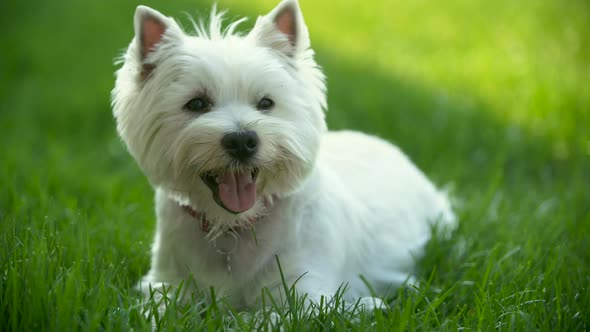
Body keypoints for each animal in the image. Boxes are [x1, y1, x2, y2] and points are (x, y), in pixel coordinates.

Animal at [112, 0, 458, 312]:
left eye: (266, 103)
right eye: (196, 103)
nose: (242, 140)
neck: (232, 230)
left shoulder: (304, 293)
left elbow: (258, 319)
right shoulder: (167, 282)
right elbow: (156, 310)